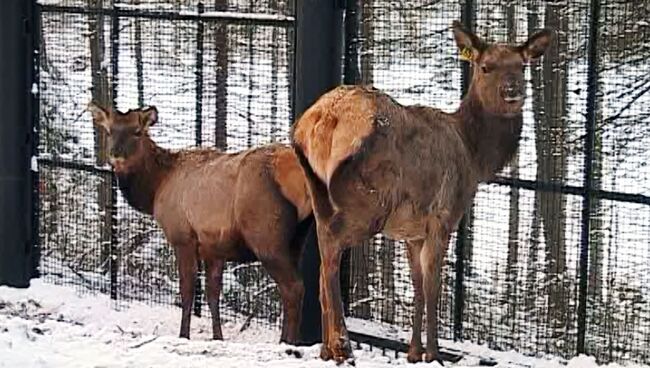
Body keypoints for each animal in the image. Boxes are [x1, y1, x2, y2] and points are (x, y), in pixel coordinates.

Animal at [88, 103, 312, 344]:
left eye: (137, 132)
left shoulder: (182, 237)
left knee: (293, 287)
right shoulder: (213, 247)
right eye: (109, 131)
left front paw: (183, 335)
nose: (115, 155)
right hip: (299, 236)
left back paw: (286, 342)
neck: (156, 187)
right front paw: (218, 337)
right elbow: (212, 295)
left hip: (266, 235)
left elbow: (187, 293)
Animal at [292, 21, 548, 364]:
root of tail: (321, 120)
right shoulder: (444, 216)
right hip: (369, 200)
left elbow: (415, 284)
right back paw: (341, 345)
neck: (474, 156)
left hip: (317, 191)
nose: (512, 91)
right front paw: (434, 353)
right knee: (331, 249)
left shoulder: (411, 231)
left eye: (522, 66)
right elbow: (432, 284)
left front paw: (413, 352)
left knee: (321, 250)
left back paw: (323, 348)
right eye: (486, 67)